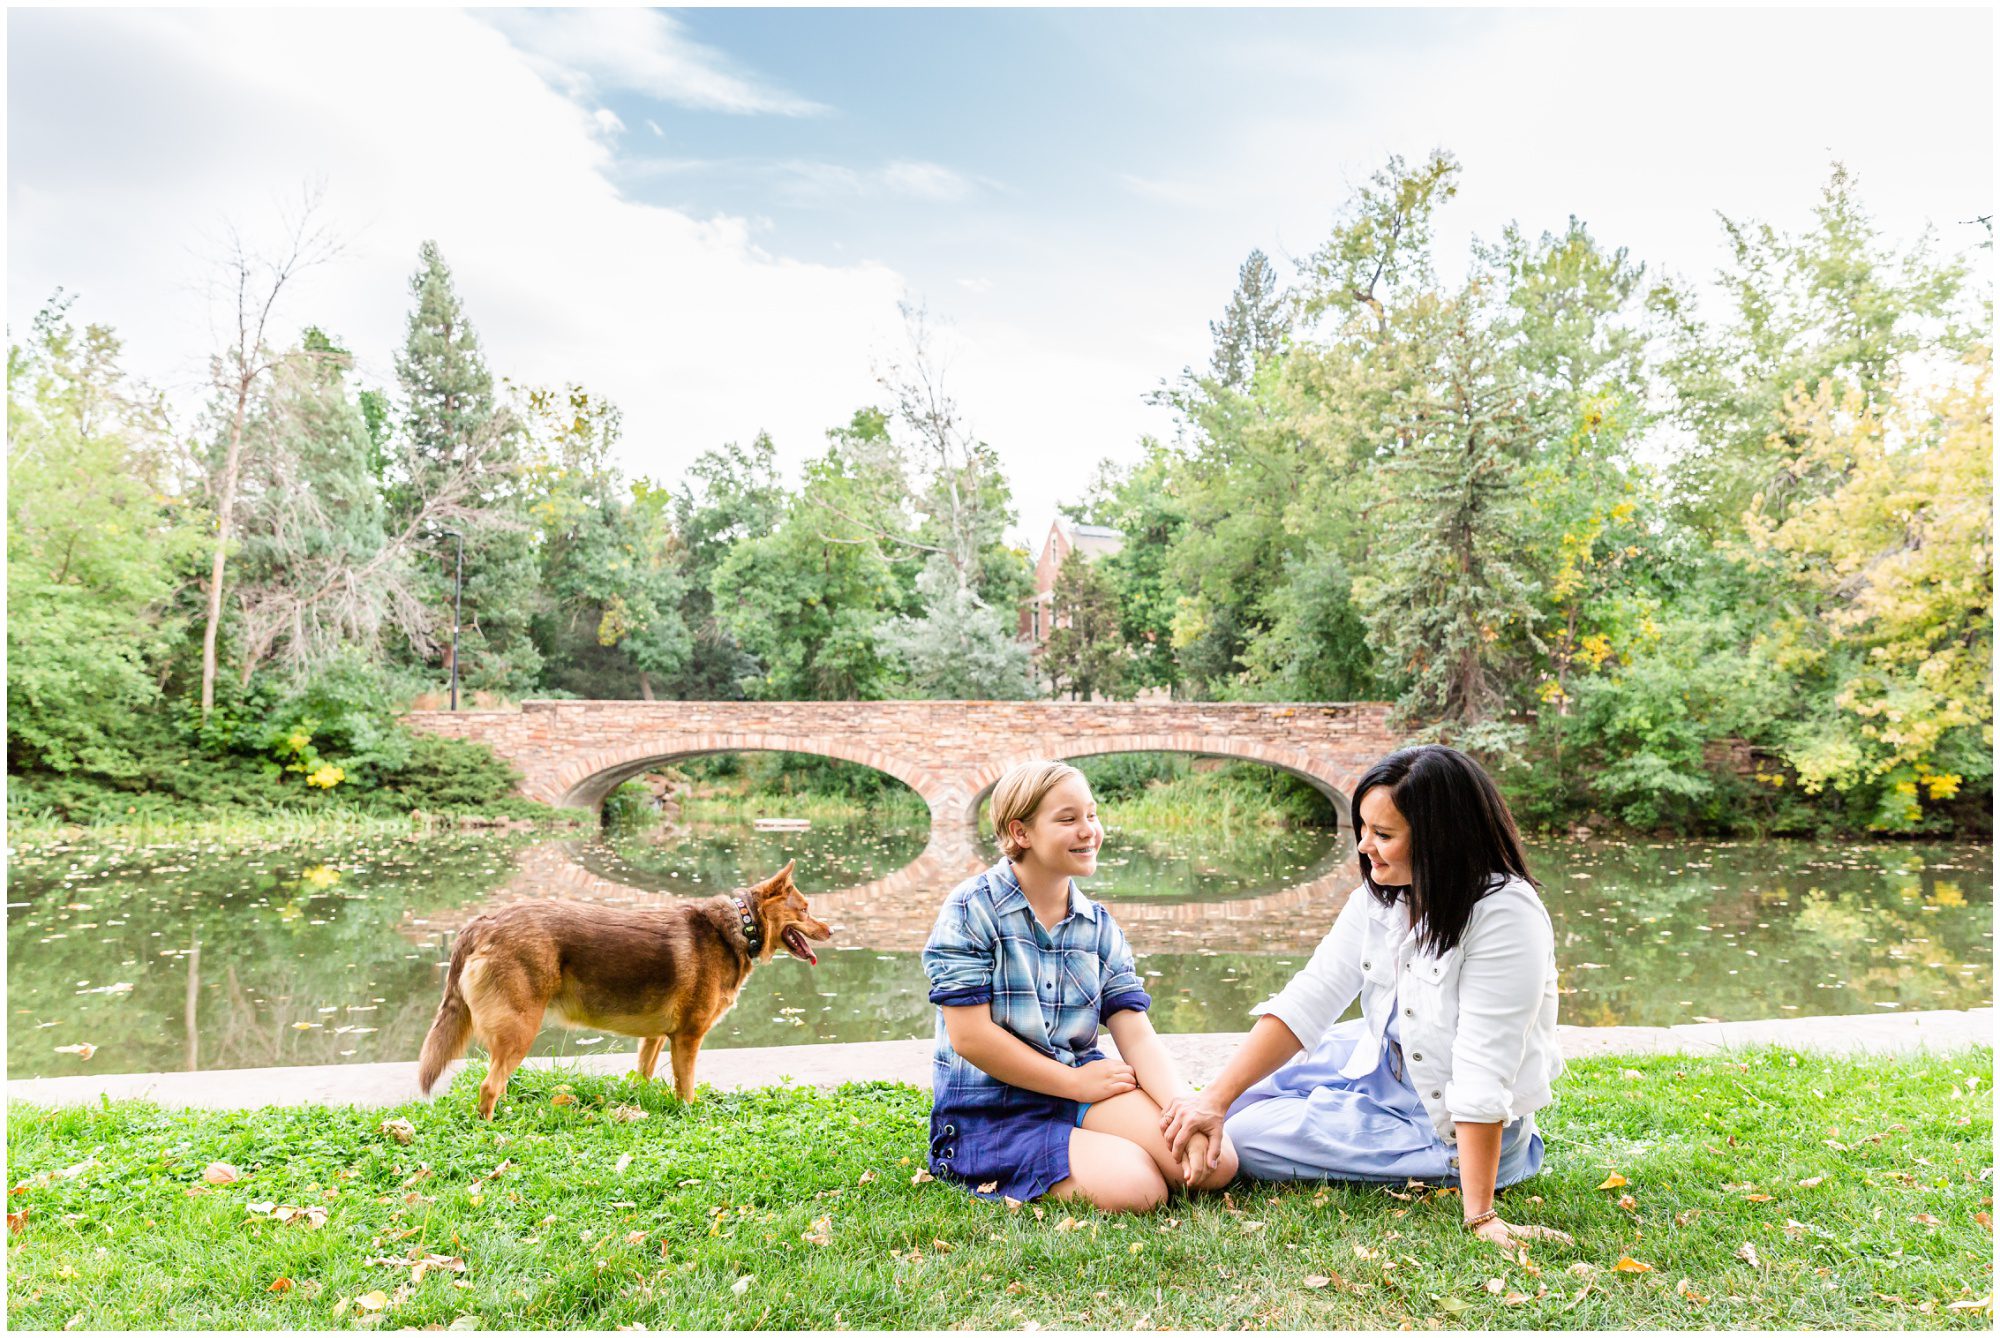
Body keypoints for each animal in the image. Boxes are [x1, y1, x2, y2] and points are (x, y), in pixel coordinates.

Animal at [418, 860, 832, 1112]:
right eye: (806, 909)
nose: (831, 930)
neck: (740, 927)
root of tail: (484, 922)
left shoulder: (655, 1037)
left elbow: (642, 1076)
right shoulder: (687, 1038)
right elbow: (686, 1089)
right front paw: (689, 1114)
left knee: (497, 1084)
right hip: (519, 1030)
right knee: (488, 1088)